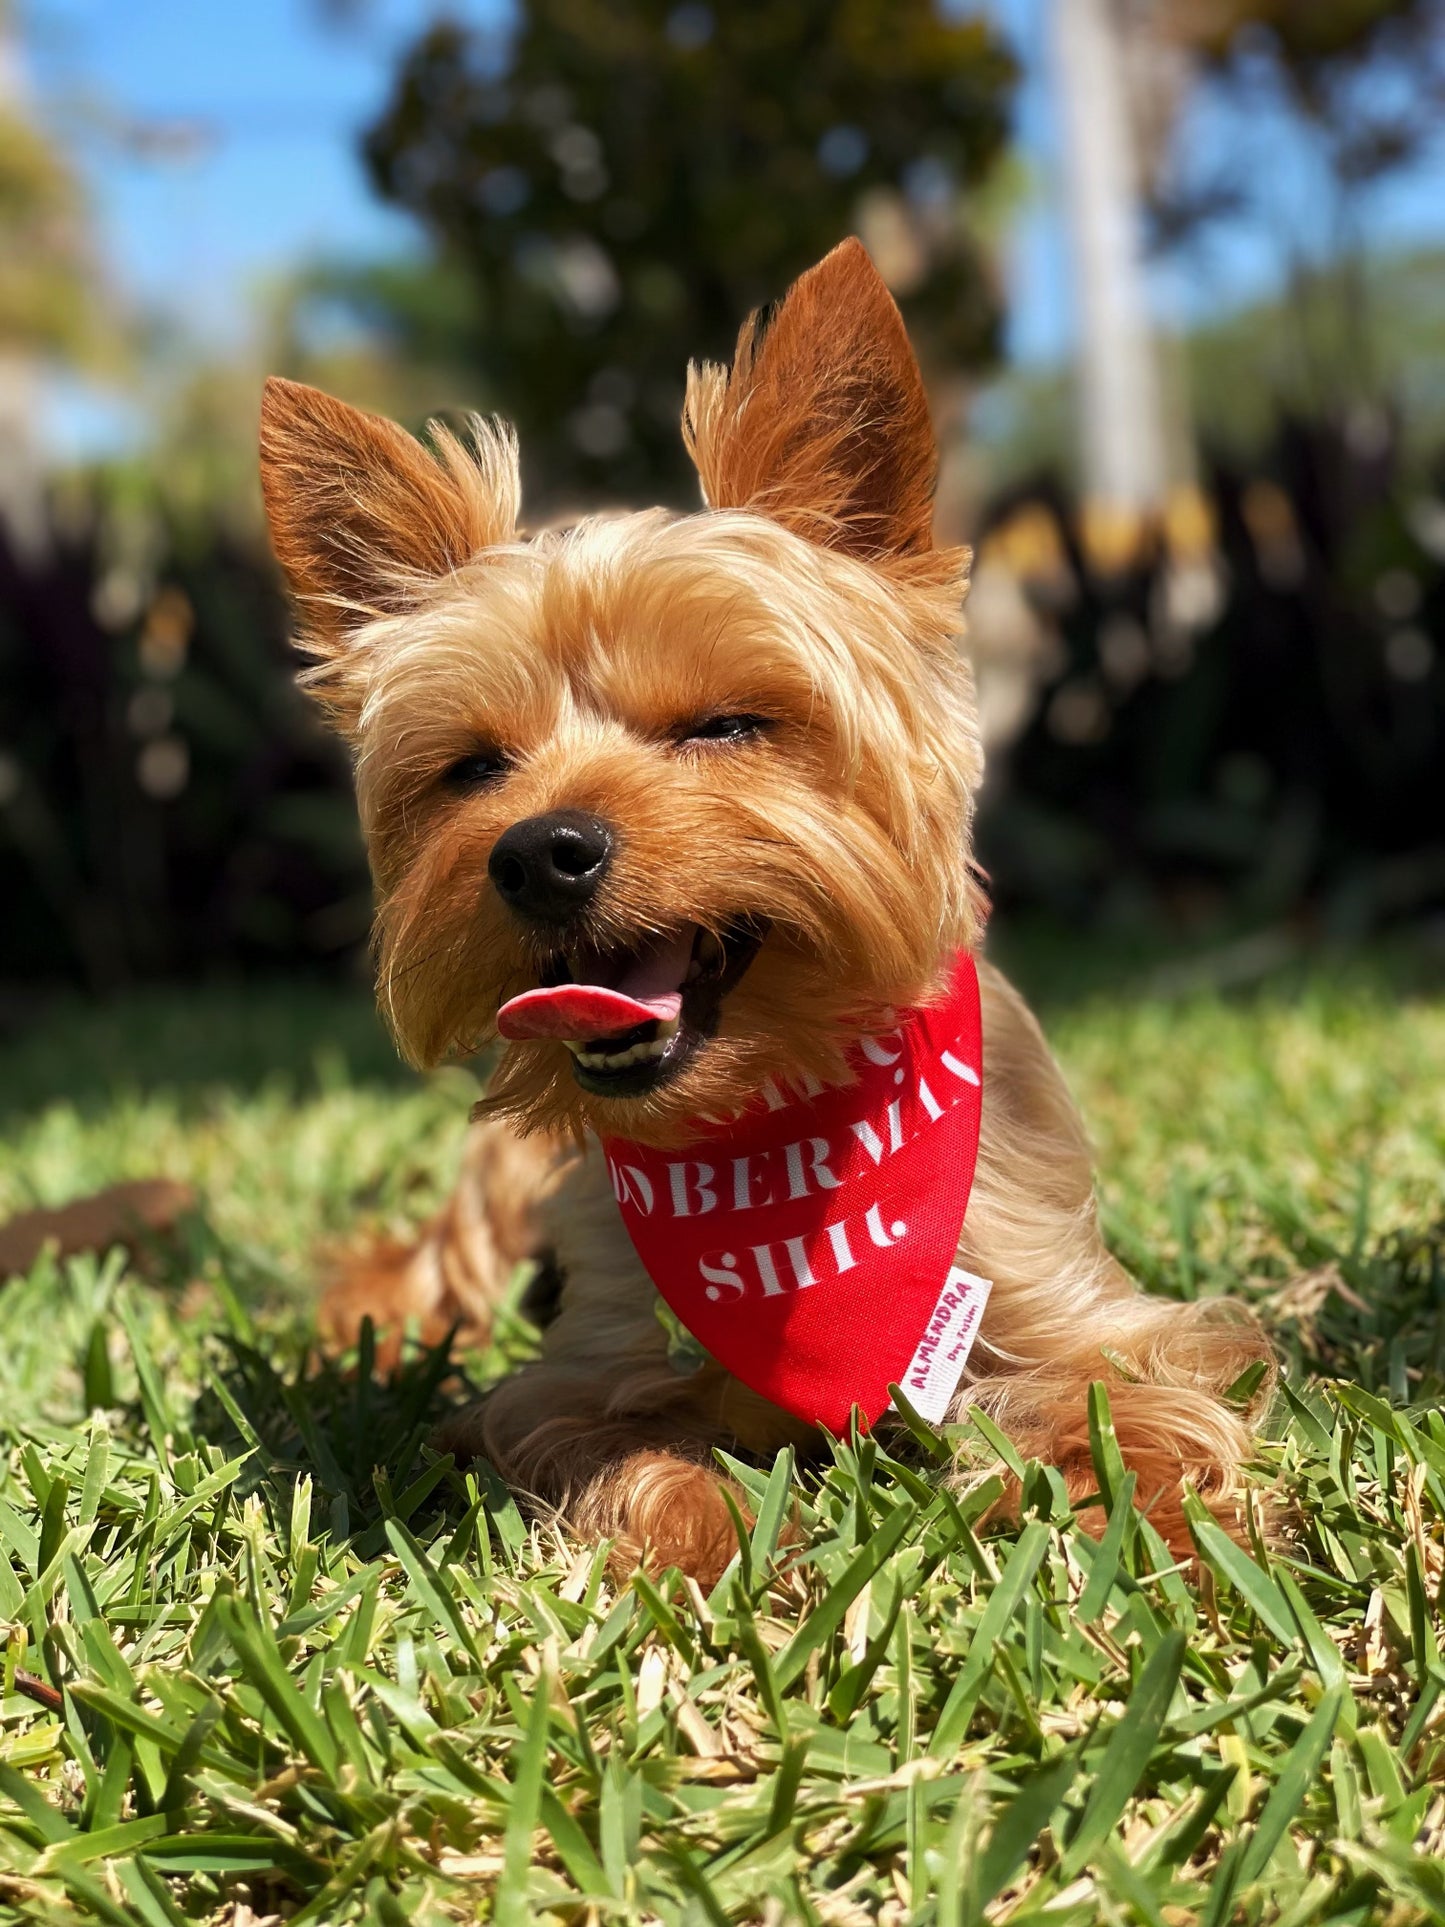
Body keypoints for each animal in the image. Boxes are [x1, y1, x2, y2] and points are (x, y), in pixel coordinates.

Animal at [260, 237, 1279, 1580]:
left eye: (724, 724)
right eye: (475, 767)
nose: (537, 853)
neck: (767, 1116)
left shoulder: (1081, 1297)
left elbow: (1130, 1388)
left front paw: (1134, 1517)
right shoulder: (564, 1376)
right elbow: (605, 1439)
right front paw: (695, 1542)